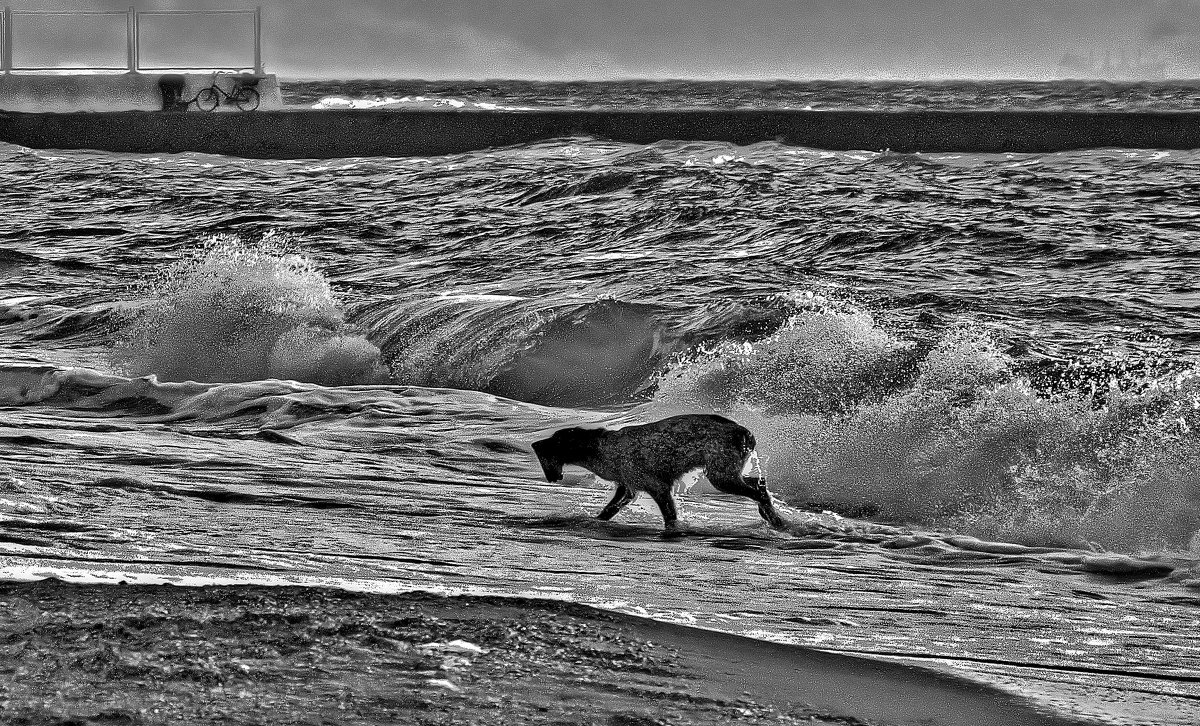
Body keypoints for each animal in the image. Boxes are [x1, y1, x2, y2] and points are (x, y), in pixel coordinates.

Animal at [530, 412, 782, 525]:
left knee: (758, 491)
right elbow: (609, 509)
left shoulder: (657, 487)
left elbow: (670, 516)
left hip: (721, 476)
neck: (599, 449)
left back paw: (774, 519)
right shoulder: (627, 487)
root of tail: (744, 431)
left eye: (546, 453)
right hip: (728, 473)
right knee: (758, 484)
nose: (551, 478)